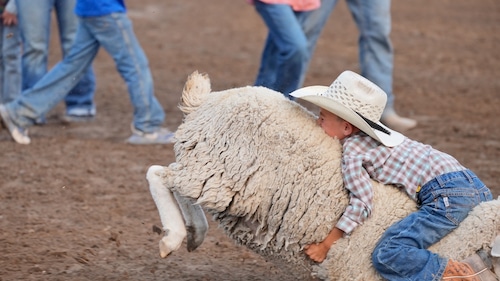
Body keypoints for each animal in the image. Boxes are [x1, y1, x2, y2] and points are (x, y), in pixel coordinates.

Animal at [146, 71, 500, 278]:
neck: (460, 250)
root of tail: (207, 100)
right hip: (217, 168)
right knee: (159, 174)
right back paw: (173, 236)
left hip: (210, 170)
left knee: (179, 185)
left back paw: (194, 233)